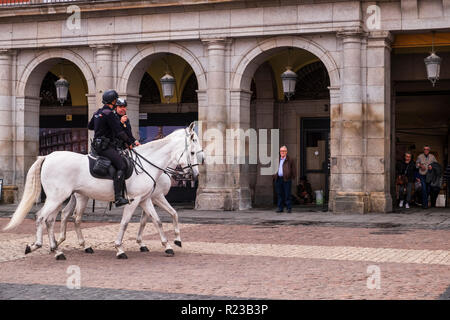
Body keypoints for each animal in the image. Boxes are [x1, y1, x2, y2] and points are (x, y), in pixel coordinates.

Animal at [3, 123, 204, 260]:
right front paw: (120, 248)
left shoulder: (146, 199)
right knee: (42, 217)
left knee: (56, 219)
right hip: (57, 197)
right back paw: (42, 246)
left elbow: (158, 221)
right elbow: (125, 223)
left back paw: (58, 248)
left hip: (65, 197)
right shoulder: (137, 200)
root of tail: (48, 156)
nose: (195, 175)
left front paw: (168, 245)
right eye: (193, 152)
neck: (149, 164)